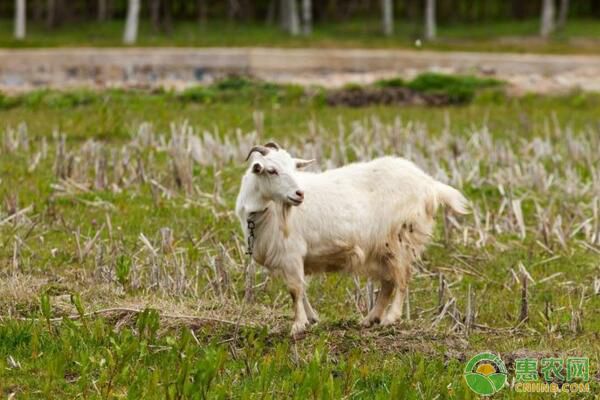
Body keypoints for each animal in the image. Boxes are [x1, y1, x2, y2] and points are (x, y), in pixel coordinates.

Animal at [234, 142, 468, 336]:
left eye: (294, 168)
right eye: (271, 170)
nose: (299, 194)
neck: (265, 212)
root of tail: (430, 184)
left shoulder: (291, 253)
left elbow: (295, 290)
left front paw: (298, 325)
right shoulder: (292, 259)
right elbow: (302, 290)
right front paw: (311, 319)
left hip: (400, 239)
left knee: (401, 280)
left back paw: (390, 318)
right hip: (382, 248)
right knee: (388, 283)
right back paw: (370, 319)